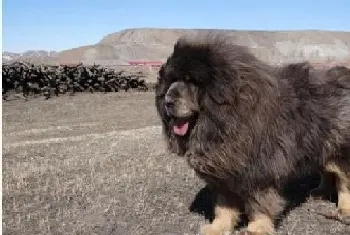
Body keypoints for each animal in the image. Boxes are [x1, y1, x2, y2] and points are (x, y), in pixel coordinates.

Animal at [154, 33, 350, 235]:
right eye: (170, 81)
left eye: (191, 81)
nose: (168, 101)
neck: (224, 119)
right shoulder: (223, 174)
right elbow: (223, 206)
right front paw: (218, 227)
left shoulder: (260, 171)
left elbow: (259, 204)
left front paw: (257, 228)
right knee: (326, 170)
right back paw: (319, 192)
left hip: (339, 147)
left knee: (343, 179)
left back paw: (344, 209)